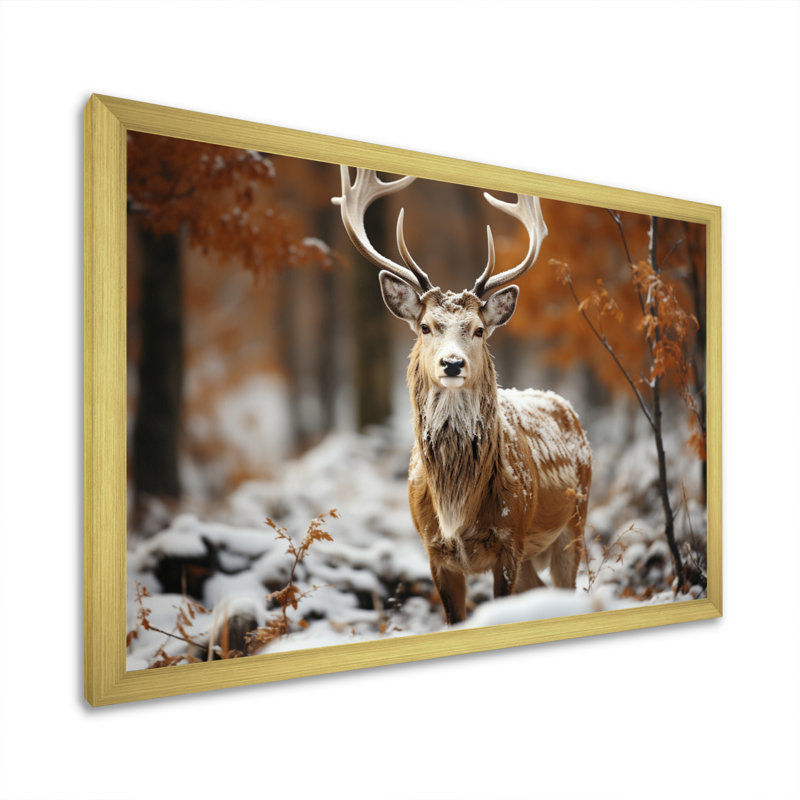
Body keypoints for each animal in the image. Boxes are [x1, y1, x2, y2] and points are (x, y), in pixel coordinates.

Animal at [333, 168, 592, 624]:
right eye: (425, 326)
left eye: (479, 329)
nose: (452, 364)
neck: (456, 509)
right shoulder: (434, 550)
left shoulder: (509, 539)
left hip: (574, 522)